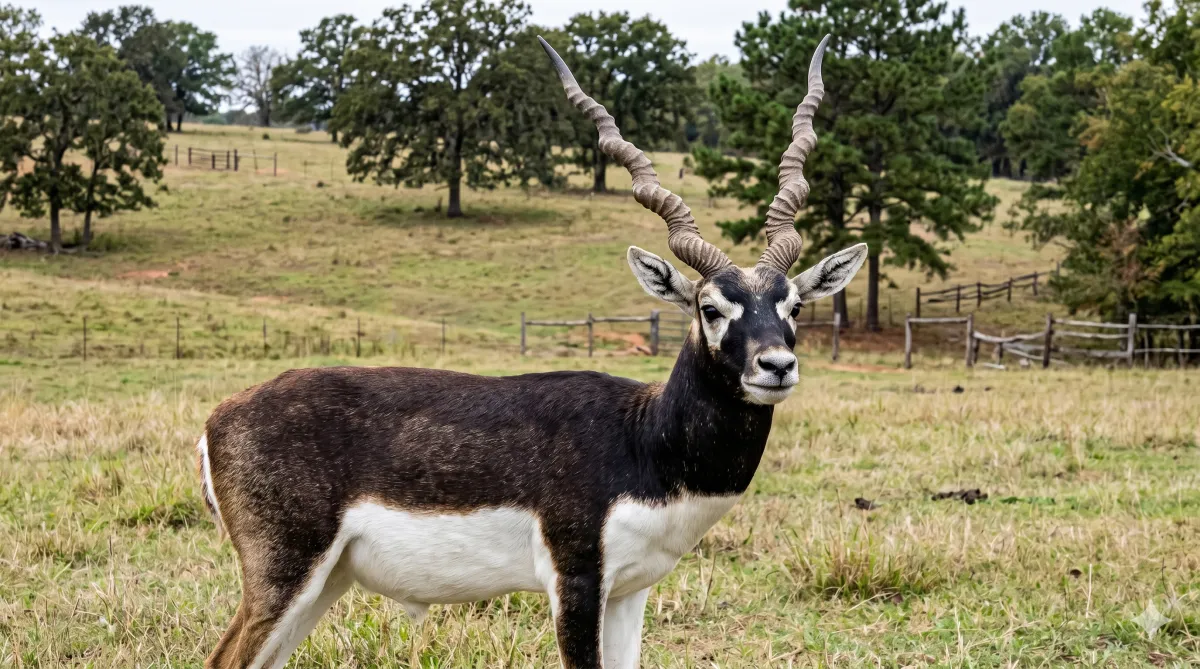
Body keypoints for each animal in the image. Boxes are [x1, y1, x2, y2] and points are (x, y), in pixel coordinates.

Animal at [198, 34, 865, 669]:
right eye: (709, 308)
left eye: (793, 307)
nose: (776, 366)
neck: (643, 438)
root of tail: (217, 418)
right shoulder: (576, 578)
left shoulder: (631, 591)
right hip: (285, 572)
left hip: (327, 580)